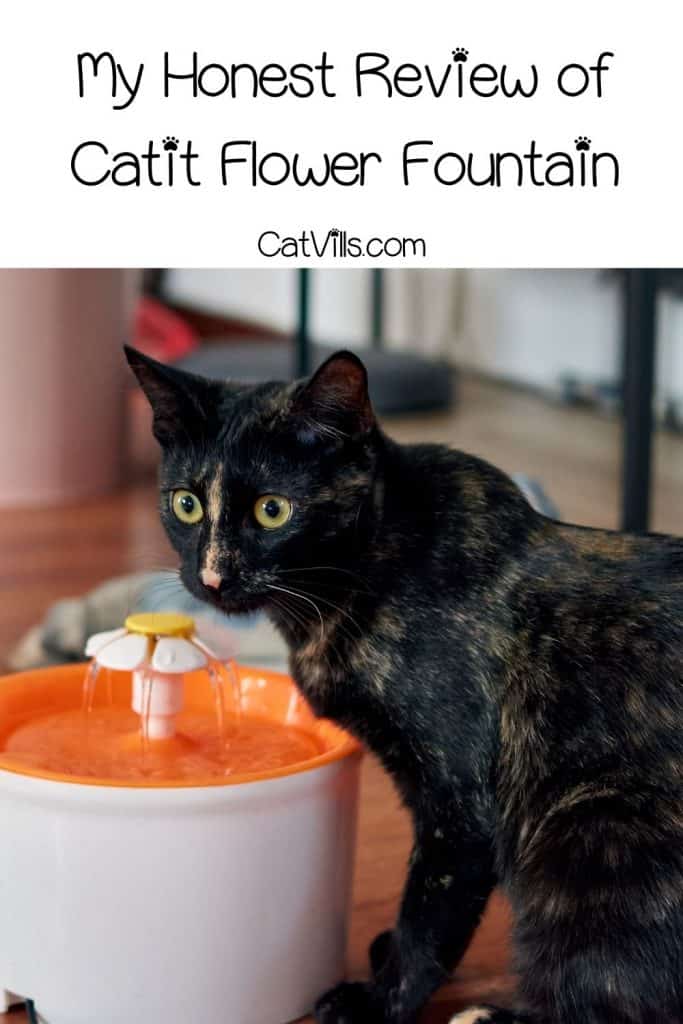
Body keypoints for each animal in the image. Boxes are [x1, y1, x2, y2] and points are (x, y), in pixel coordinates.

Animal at [125, 346, 683, 1024]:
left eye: (272, 510)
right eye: (186, 504)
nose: (212, 577)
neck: (374, 565)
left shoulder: (460, 807)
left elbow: (429, 918)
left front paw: (375, 1002)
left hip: (593, 832)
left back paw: (488, 1016)